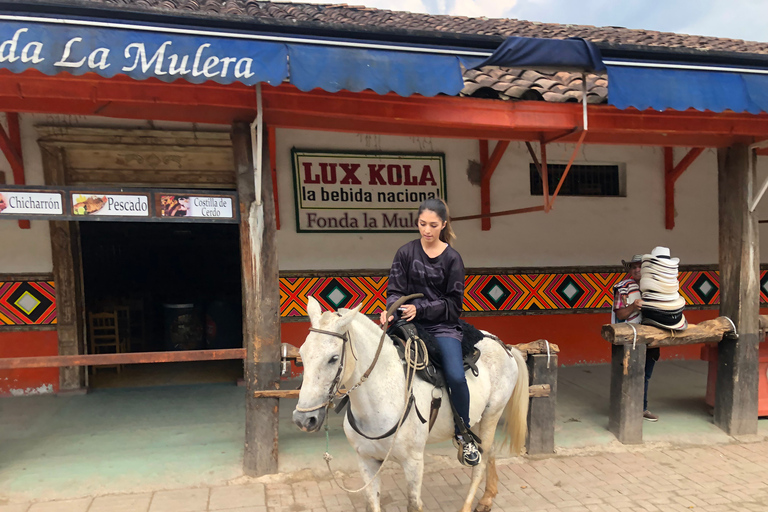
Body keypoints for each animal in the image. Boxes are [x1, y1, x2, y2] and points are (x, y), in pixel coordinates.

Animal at [292, 296, 532, 512]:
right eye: (302, 354)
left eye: (333, 358)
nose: (304, 419)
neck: (379, 402)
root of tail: (506, 347)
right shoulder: (366, 460)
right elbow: (372, 503)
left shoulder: (413, 463)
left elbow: (413, 505)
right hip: (478, 419)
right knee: (489, 450)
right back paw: (487, 498)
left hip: (493, 412)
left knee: (480, 461)